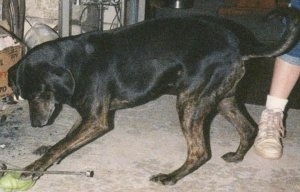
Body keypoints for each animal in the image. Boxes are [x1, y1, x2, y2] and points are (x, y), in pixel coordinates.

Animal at [8, 7, 300, 186]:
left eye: (39, 94)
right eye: (24, 97)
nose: (36, 125)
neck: (74, 63)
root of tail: (239, 45)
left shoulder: (96, 121)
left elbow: (62, 144)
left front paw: (35, 168)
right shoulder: (88, 116)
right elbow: (65, 140)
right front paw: (50, 150)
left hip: (190, 102)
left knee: (200, 151)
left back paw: (171, 177)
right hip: (222, 99)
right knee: (248, 128)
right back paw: (237, 157)